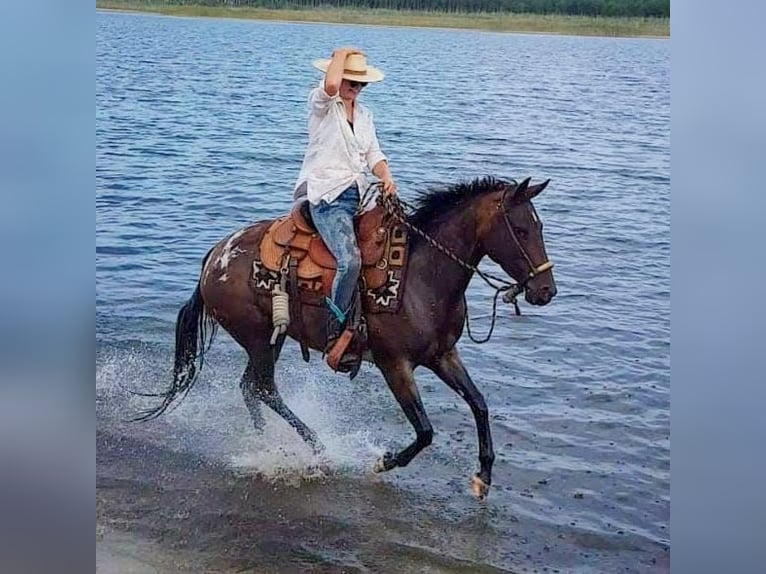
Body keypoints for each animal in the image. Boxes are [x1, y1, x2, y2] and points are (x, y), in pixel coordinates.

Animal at [140, 176, 560, 500]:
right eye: (521, 229)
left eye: (539, 227)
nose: (546, 291)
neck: (424, 276)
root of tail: (214, 256)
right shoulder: (395, 364)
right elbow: (425, 431)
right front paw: (384, 461)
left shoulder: (443, 354)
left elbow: (479, 404)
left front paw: (483, 477)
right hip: (258, 339)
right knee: (263, 388)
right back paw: (314, 449)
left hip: (271, 339)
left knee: (252, 387)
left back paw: (268, 442)